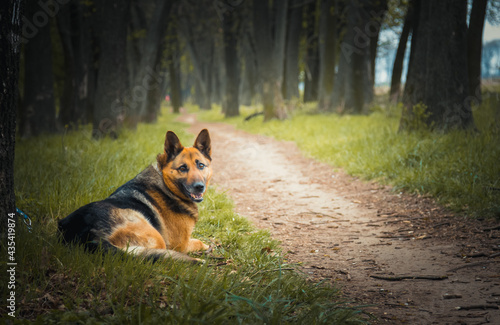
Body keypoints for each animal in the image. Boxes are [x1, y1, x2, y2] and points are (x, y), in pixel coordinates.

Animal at [58, 128, 213, 262]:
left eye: (201, 165)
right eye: (182, 168)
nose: (199, 187)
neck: (166, 183)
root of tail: (89, 234)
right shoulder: (181, 244)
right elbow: (198, 241)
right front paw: (207, 246)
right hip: (156, 238)